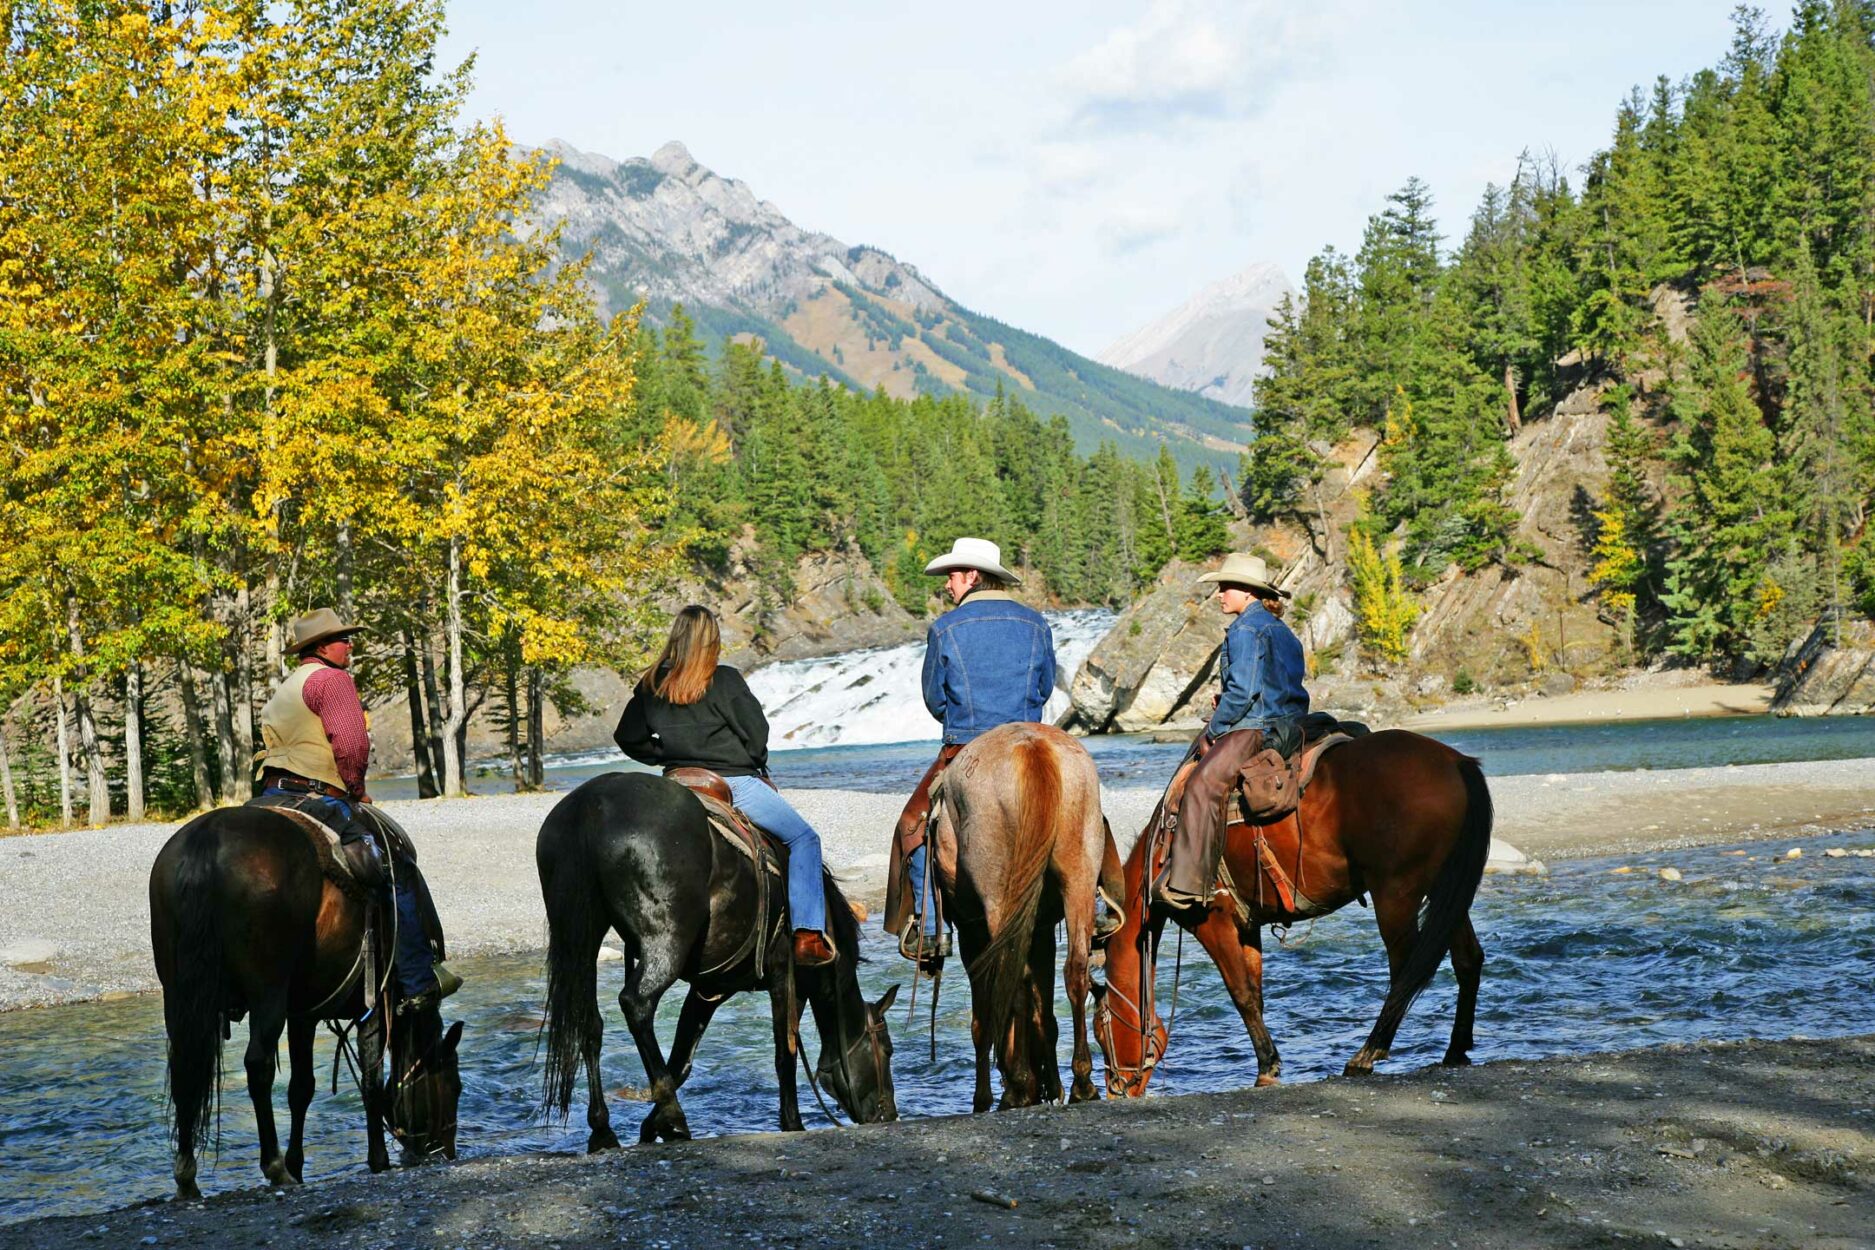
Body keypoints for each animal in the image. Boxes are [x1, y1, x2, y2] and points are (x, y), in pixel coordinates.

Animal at [150, 805, 465, 1199]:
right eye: (456, 1086)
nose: (444, 1152)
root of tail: (208, 836)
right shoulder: (374, 1006)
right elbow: (372, 1081)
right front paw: (378, 1160)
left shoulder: (302, 1014)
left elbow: (301, 1088)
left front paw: (298, 1165)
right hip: (267, 993)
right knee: (258, 1065)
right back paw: (273, 1166)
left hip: (179, 996)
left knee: (185, 1068)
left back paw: (188, 1176)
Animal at [536, 772, 900, 1146]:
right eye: (887, 1049)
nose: (888, 1115)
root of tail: (590, 805)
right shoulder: (785, 979)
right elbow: (785, 1054)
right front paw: (792, 1123)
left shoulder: (708, 990)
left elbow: (682, 1060)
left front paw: (650, 1127)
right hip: (665, 943)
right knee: (637, 1003)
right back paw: (674, 1116)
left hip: (582, 937)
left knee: (589, 1022)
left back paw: (604, 1129)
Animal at [926, 719, 1110, 1109]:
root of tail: (1033, 749)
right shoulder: (1041, 928)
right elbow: (1045, 1011)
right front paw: (1050, 1085)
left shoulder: (971, 933)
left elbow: (984, 1018)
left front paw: (988, 1095)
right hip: (1079, 875)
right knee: (1074, 968)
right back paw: (1081, 1083)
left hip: (999, 898)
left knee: (1013, 976)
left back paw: (1019, 1086)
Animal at [1095, 727, 1485, 1101]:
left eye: (1101, 1031)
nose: (1116, 1090)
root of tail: (1456, 762)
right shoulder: (1246, 926)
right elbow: (1256, 995)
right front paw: (1267, 1065)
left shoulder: (1211, 924)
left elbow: (1241, 994)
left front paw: (1268, 1066)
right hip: (1445, 888)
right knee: (1467, 958)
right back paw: (1455, 1050)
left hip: (1396, 894)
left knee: (1406, 969)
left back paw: (1368, 1054)